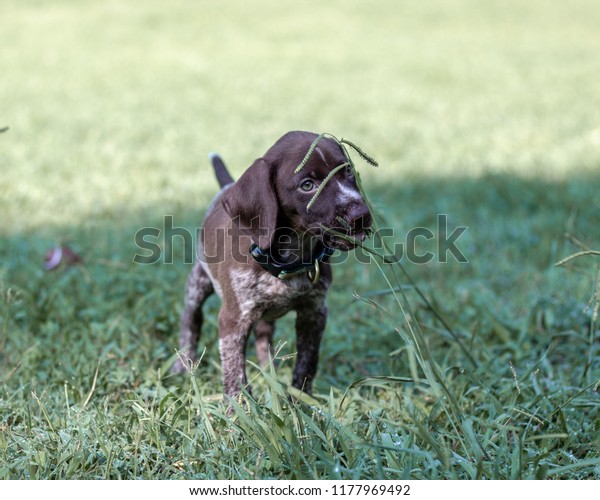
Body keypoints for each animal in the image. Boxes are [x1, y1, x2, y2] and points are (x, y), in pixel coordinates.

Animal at [171, 131, 372, 400]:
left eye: (347, 170)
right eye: (307, 185)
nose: (361, 214)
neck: (291, 255)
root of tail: (227, 186)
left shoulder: (315, 312)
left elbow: (307, 363)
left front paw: (302, 401)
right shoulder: (234, 319)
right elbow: (235, 374)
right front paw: (240, 409)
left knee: (263, 337)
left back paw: (270, 371)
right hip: (198, 283)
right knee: (191, 320)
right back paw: (183, 366)